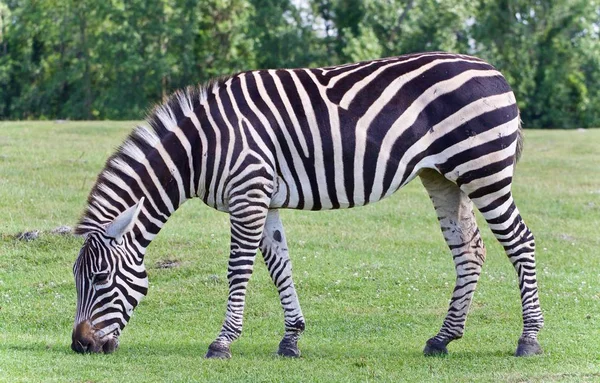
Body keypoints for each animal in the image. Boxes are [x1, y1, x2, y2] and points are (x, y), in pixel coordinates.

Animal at [70, 51, 544, 360]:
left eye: (100, 278)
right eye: (77, 279)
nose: (80, 345)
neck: (201, 148)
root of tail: (494, 70)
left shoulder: (248, 193)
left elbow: (238, 269)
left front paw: (222, 343)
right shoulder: (263, 198)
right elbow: (280, 266)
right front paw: (291, 340)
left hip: (484, 171)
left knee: (520, 242)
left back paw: (529, 340)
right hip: (443, 177)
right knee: (470, 250)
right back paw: (442, 339)